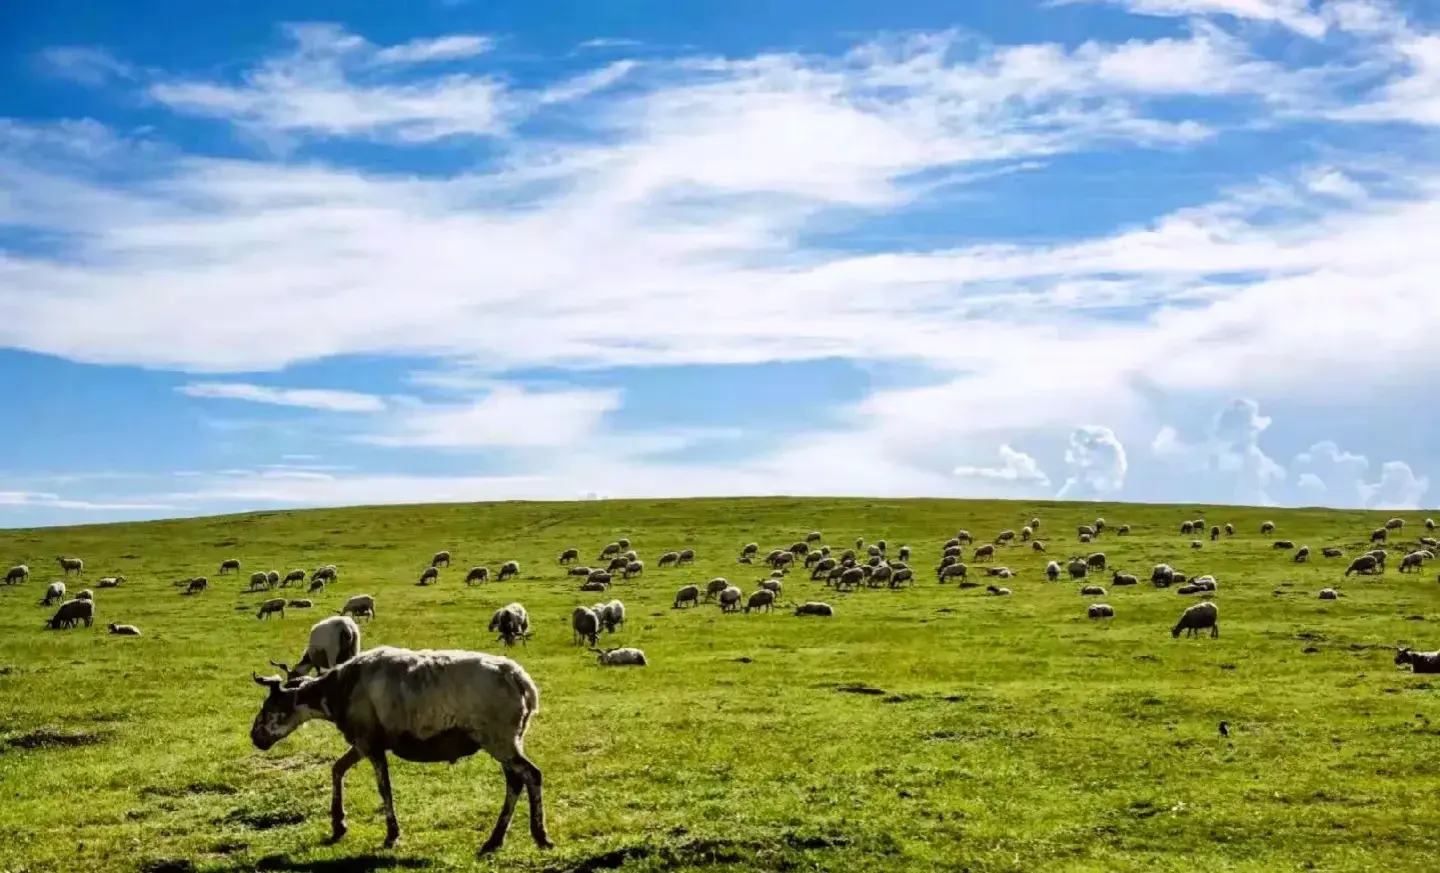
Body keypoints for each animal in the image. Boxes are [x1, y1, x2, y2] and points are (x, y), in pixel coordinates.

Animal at [247, 645, 550, 858]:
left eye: (269, 708)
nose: (254, 737)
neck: (336, 691)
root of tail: (520, 680)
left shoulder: (370, 744)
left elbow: (384, 789)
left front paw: (391, 834)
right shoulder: (363, 743)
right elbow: (337, 769)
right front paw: (338, 825)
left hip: (499, 740)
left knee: (532, 775)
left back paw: (540, 836)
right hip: (509, 740)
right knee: (515, 781)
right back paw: (495, 840)